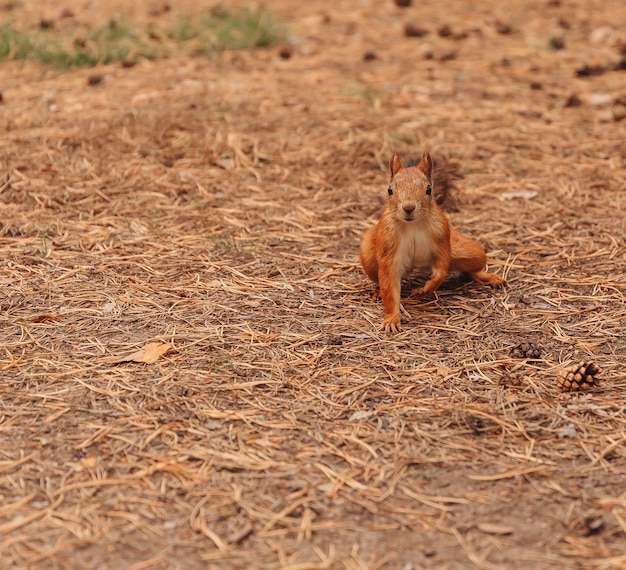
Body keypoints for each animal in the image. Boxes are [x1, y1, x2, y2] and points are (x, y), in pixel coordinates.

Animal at [360, 151, 502, 332]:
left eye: (429, 189)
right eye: (389, 190)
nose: (408, 208)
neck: (412, 224)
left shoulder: (442, 237)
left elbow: (441, 270)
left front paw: (424, 290)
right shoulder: (388, 246)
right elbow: (389, 285)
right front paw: (391, 319)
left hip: (474, 253)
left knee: (470, 267)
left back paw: (485, 277)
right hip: (368, 257)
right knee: (379, 279)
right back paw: (378, 293)